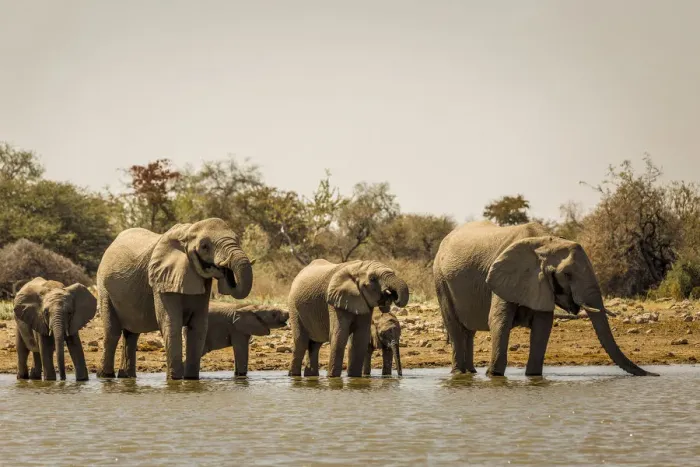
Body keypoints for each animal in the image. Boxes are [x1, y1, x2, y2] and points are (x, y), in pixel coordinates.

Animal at [96, 218, 253, 380]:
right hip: (104, 288)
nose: (224, 270)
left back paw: (126, 377)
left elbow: (199, 326)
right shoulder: (160, 280)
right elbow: (171, 323)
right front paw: (174, 379)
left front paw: (191, 379)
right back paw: (105, 376)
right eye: (204, 246)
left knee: (131, 334)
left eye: (237, 239)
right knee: (112, 332)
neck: (187, 232)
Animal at [433, 221, 657, 377]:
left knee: (468, 332)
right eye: (567, 275)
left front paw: (533, 377)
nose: (654, 374)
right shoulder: (504, 277)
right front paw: (494, 376)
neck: (545, 244)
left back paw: (470, 373)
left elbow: (543, 326)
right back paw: (459, 373)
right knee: (456, 327)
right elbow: (499, 321)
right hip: (440, 279)